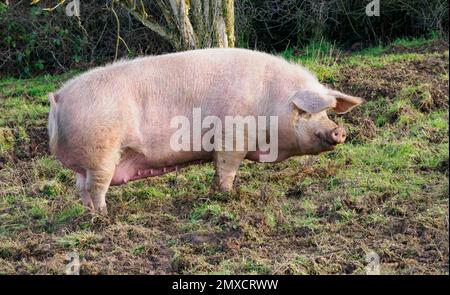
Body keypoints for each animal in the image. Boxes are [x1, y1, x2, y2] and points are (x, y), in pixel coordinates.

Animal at [47, 49, 364, 215]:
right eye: (306, 112)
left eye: (327, 112)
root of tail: (58, 97)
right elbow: (227, 167)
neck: (270, 103)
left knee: (81, 188)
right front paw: (227, 195)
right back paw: (104, 216)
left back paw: (89, 214)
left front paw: (215, 192)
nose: (339, 131)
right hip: (101, 154)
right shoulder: (232, 135)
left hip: (88, 162)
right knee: (95, 187)